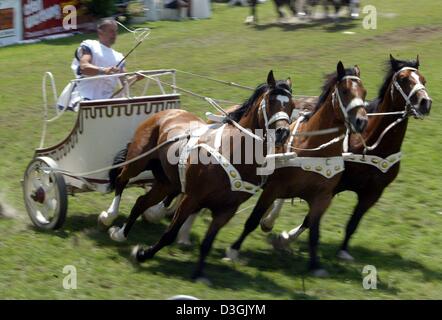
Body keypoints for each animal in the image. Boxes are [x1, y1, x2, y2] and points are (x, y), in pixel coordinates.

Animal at [98, 71, 296, 282]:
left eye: (292, 105)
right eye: (271, 100)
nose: (283, 133)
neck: (233, 154)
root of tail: (166, 113)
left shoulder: (226, 210)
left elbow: (207, 243)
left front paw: (200, 274)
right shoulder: (191, 198)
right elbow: (170, 233)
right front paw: (143, 254)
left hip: (166, 182)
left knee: (141, 202)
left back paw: (121, 233)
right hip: (137, 161)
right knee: (121, 180)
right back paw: (109, 217)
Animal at [226, 61, 368, 276]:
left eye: (364, 92)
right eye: (344, 91)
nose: (362, 121)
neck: (315, 148)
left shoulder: (322, 197)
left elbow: (313, 231)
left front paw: (315, 265)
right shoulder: (272, 189)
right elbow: (252, 219)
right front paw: (233, 250)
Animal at [266, 54, 432, 260]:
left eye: (423, 80)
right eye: (403, 79)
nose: (425, 102)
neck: (371, 144)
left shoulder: (373, 193)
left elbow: (353, 223)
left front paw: (343, 251)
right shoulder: (332, 185)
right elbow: (309, 219)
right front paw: (284, 239)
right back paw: (269, 219)